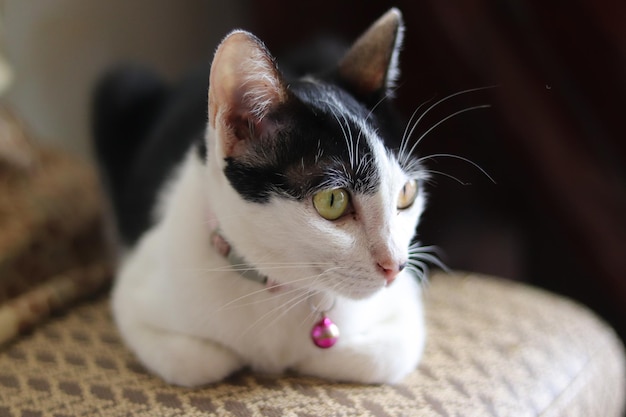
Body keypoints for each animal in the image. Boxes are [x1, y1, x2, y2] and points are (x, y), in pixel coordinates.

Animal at [92, 8, 428, 386]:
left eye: (407, 193)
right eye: (332, 201)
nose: (395, 266)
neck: (276, 286)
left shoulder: (405, 312)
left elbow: (381, 356)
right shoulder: (135, 294)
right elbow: (198, 362)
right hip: (121, 84)